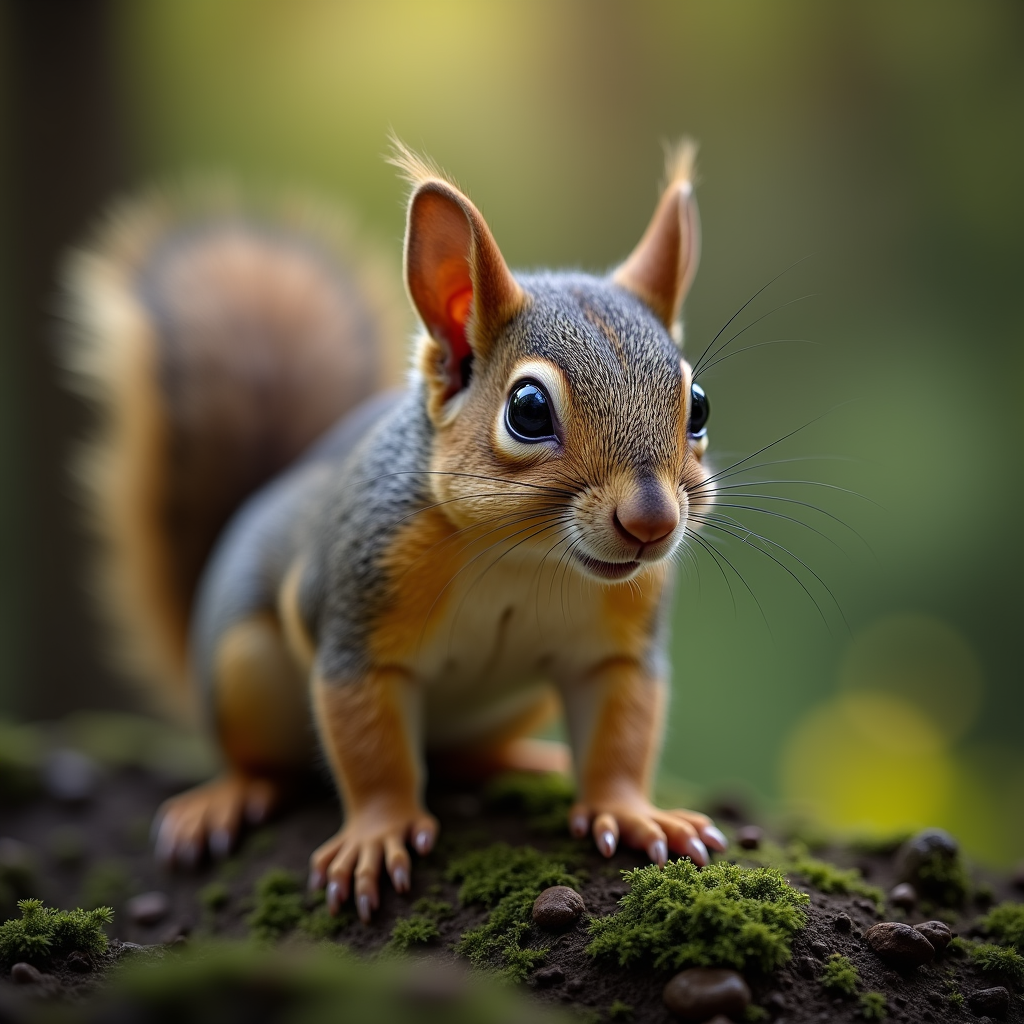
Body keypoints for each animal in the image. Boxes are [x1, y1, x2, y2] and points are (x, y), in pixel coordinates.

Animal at [62, 139, 727, 922]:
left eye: (699, 405)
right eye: (528, 410)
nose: (652, 522)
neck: (523, 559)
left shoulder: (617, 647)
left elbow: (622, 735)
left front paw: (631, 813)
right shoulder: (357, 614)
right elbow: (371, 747)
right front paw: (376, 837)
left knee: (463, 757)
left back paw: (523, 759)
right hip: (240, 667)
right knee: (265, 760)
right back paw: (230, 795)